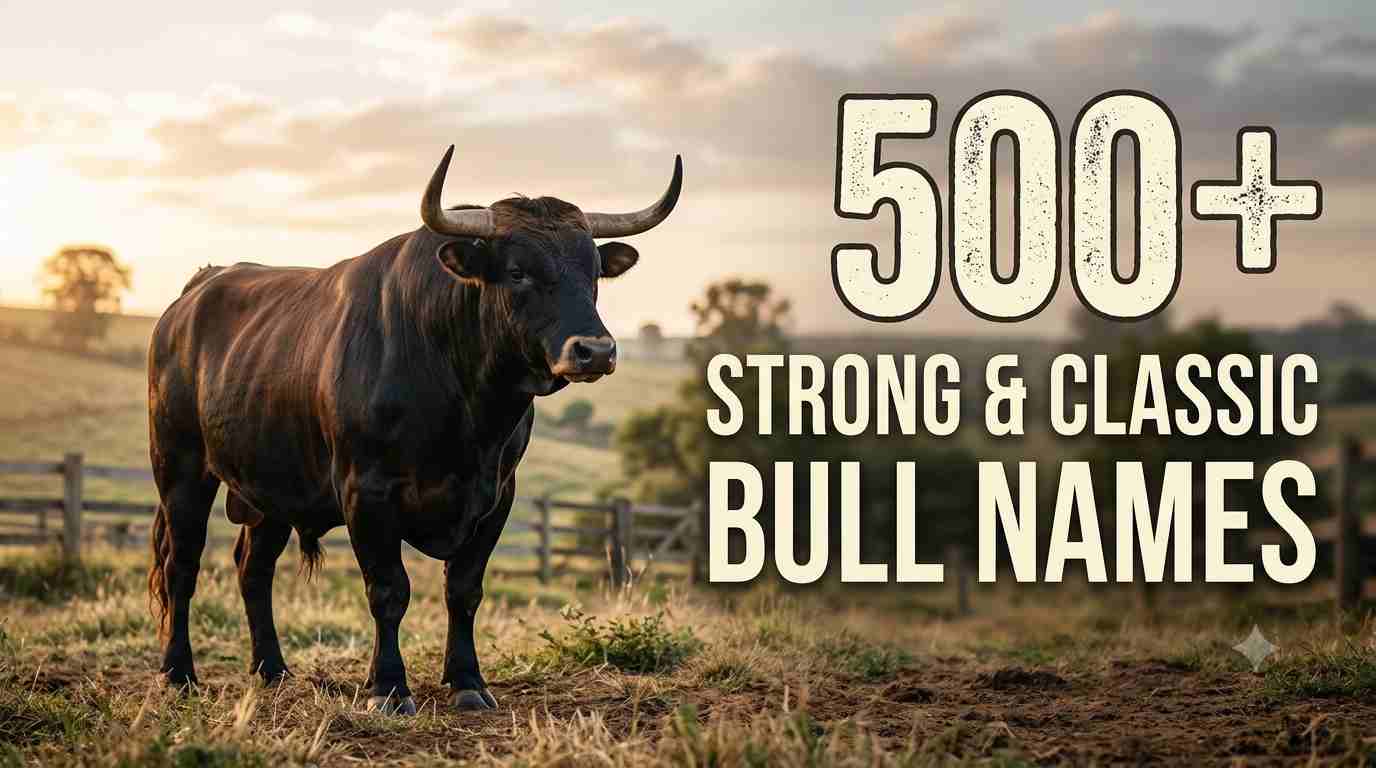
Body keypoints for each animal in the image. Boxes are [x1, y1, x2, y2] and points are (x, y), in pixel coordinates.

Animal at [146, 147, 682, 714]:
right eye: (517, 272)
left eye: (594, 272)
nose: (595, 350)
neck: (467, 407)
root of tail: (197, 290)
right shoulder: (366, 491)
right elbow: (389, 590)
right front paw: (388, 687)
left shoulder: (498, 496)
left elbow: (464, 590)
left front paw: (468, 681)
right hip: (180, 469)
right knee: (182, 564)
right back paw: (178, 673)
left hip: (269, 488)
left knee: (253, 568)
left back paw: (272, 670)